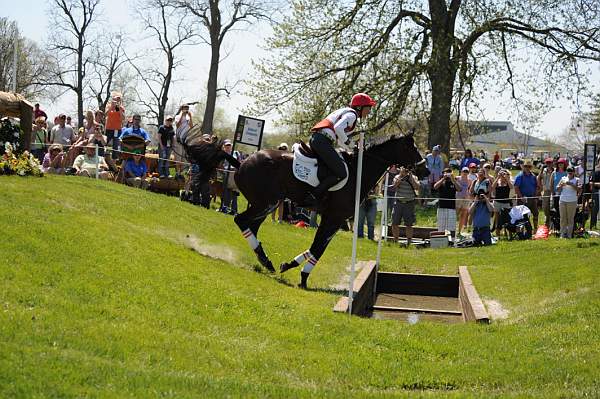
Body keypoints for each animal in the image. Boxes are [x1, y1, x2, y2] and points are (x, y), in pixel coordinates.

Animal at [232, 133, 428, 290]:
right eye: (410, 148)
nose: (424, 170)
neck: (358, 173)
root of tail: (243, 162)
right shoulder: (335, 218)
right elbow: (317, 249)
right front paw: (302, 276)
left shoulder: (332, 219)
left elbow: (317, 248)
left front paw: (291, 267)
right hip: (265, 203)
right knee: (240, 220)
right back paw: (266, 261)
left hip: (266, 205)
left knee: (251, 226)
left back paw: (265, 261)